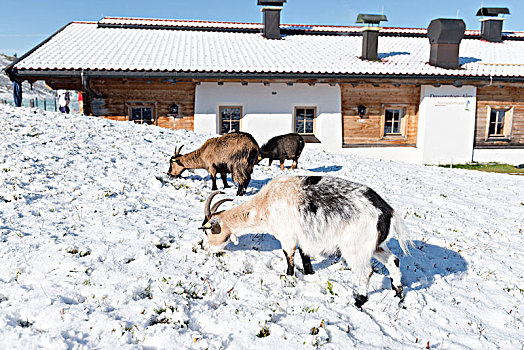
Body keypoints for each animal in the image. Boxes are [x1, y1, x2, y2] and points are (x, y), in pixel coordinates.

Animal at [199, 176, 412, 308]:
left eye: (208, 231)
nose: (204, 247)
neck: (265, 204)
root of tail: (387, 211)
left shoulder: (287, 236)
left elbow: (289, 257)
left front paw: (288, 278)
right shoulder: (303, 238)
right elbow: (305, 256)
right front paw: (309, 274)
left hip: (355, 248)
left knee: (366, 271)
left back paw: (359, 300)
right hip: (376, 245)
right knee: (393, 260)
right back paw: (398, 292)